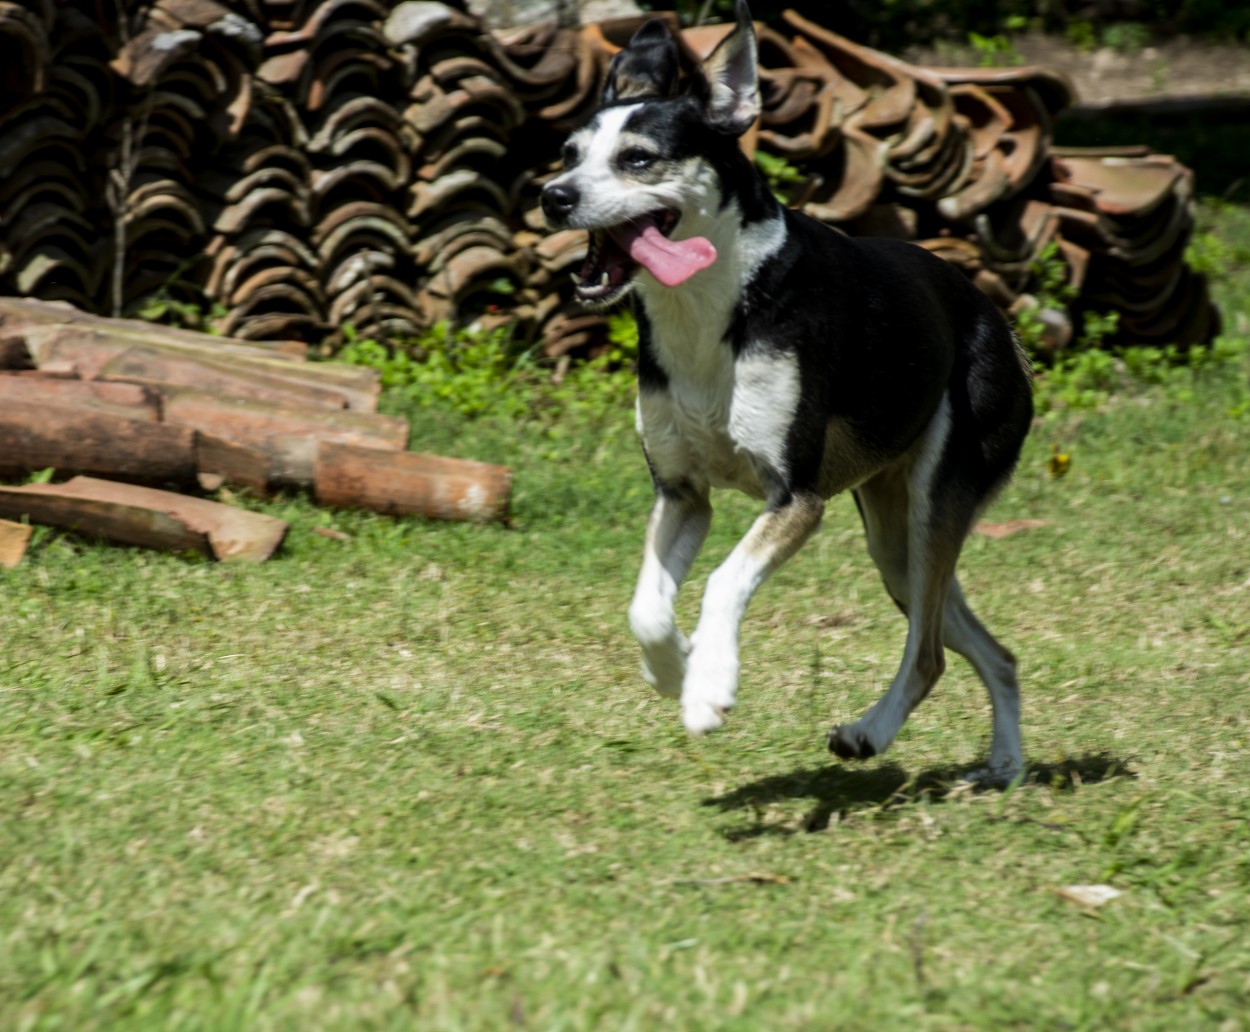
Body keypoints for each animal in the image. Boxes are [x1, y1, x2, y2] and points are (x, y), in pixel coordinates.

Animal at [542, 0, 1030, 779]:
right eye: (567, 156)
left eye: (638, 158)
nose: (552, 197)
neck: (710, 310)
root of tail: (999, 323)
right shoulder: (683, 494)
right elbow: (646, 607)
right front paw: (675, 668)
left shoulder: (795, 499)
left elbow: (720, 582)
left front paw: (709, 688)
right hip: (896, 546)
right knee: (991, 651)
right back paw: (1006, 764)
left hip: (935, 507)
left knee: (927, 655)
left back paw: (870, 733)